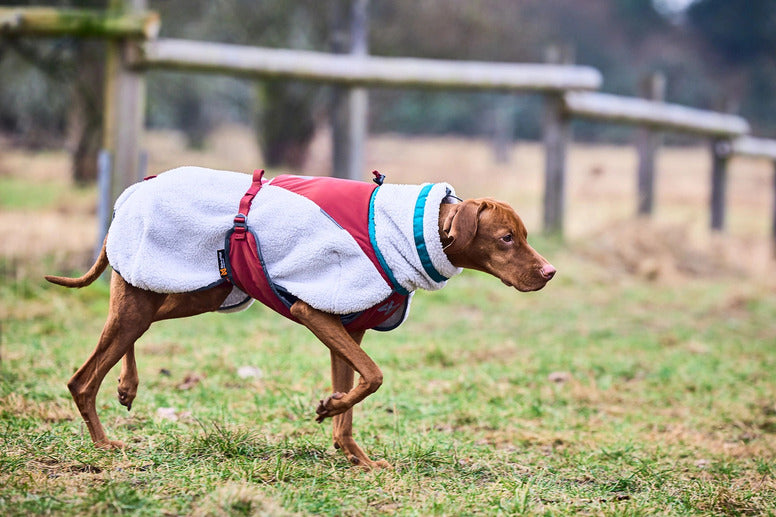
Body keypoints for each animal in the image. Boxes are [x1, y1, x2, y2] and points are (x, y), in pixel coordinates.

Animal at [47, 175, 552, 470]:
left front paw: (353, 452)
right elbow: (374, 376)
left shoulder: (347, 328)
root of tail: (132, 192)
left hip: (190, 291)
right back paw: (103, 443)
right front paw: (329, 408)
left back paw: (127, 385)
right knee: (81, 380)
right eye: (506, 238)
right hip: (157, 293)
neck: (416, 232)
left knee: (131, 331)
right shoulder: (313, 311)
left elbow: (355, 396)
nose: (549, 272)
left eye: (524, 235)